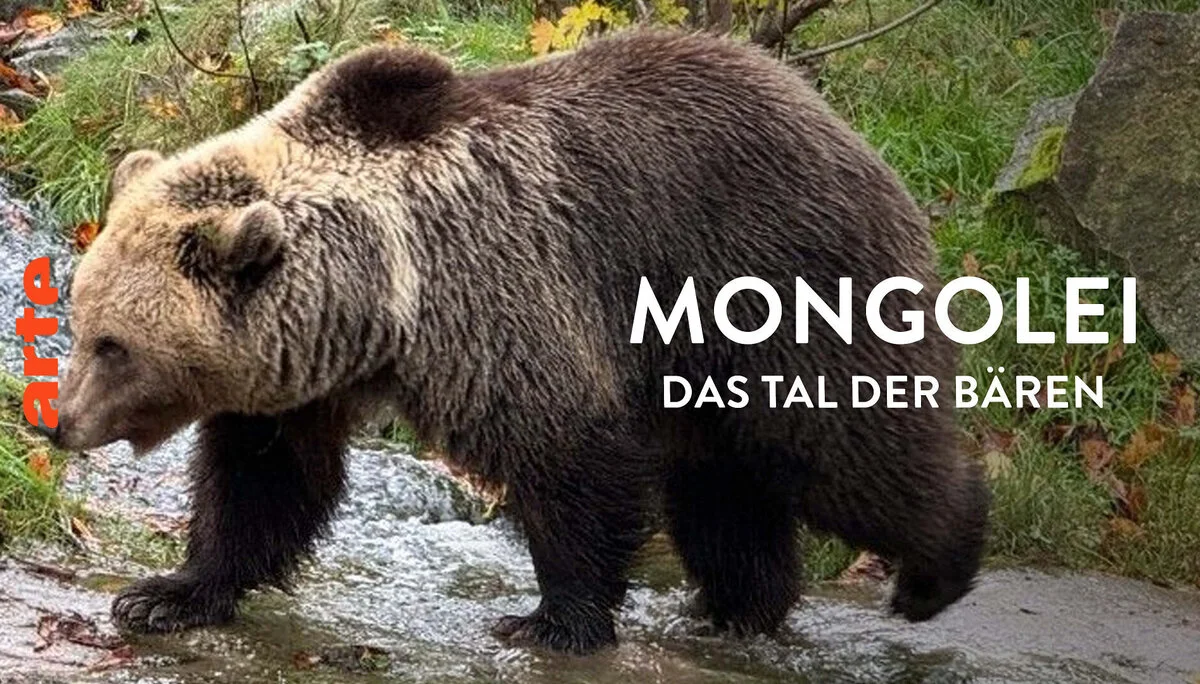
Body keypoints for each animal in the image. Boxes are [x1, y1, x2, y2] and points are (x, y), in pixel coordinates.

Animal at [48, 28, 990, 654]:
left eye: (115, 345)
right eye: (82, 320)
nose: (57, 423)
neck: (374, 298)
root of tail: (845, 127)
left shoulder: (497, 294)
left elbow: (566, 449)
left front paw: (551, 618)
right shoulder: (303, 372)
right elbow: (262, 481)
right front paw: (166, 594)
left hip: (782, 283)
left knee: (845, 448)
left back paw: (934, 570)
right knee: (721, 485)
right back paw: (735, 605)